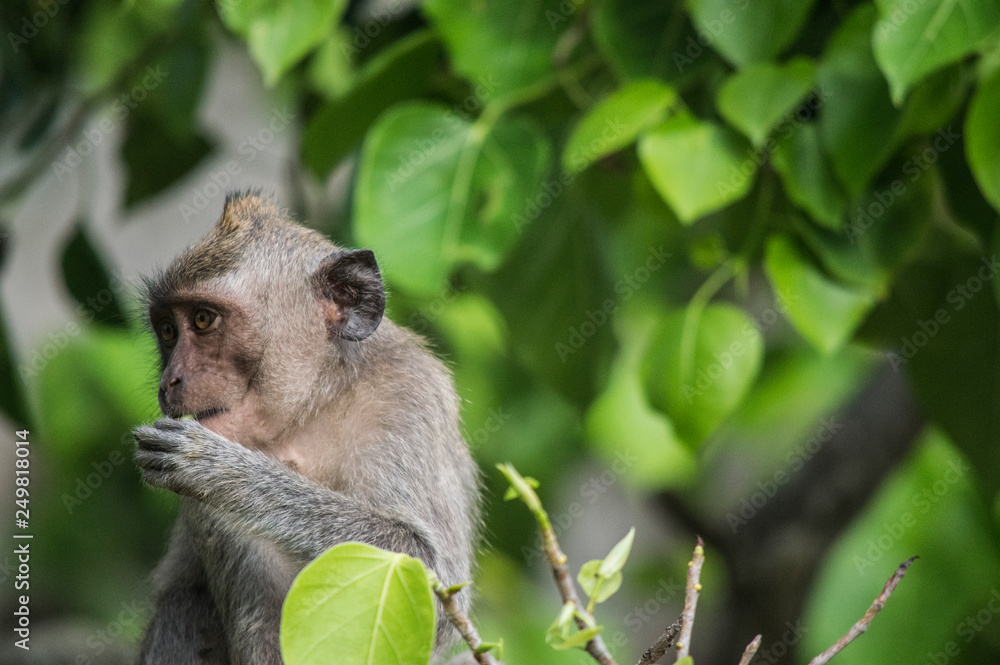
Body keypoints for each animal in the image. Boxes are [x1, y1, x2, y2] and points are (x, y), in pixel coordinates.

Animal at [132, 192, 480, 664]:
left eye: (203, 320)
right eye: (168, 331)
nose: (169, 381)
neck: (310, 406)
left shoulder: (409, 398)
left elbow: (429, 576)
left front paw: (223, 472)